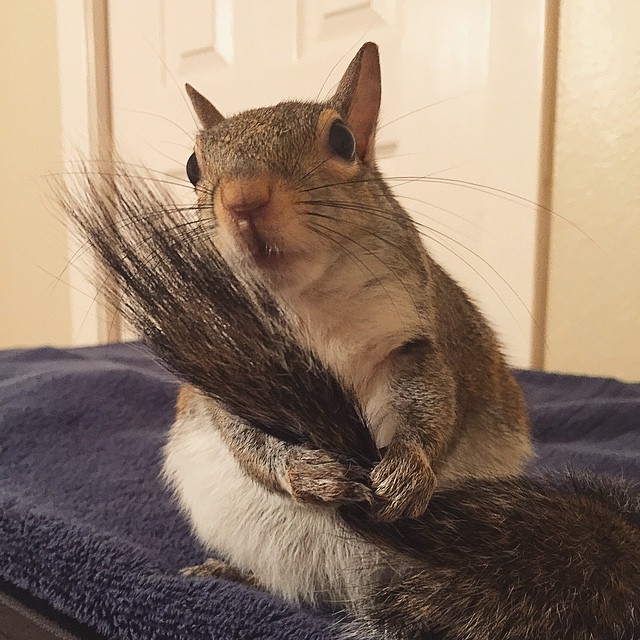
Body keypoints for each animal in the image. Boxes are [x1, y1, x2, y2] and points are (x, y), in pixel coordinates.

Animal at [64, 42, 639, 639]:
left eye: (341, 140)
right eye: (193, 165)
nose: (243, 201)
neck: (306, 304)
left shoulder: (416, 342)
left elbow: (433, 407)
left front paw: (408, 470)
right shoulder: (219, 362)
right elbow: (246, 438)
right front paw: (303, 470)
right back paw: (231, 572)